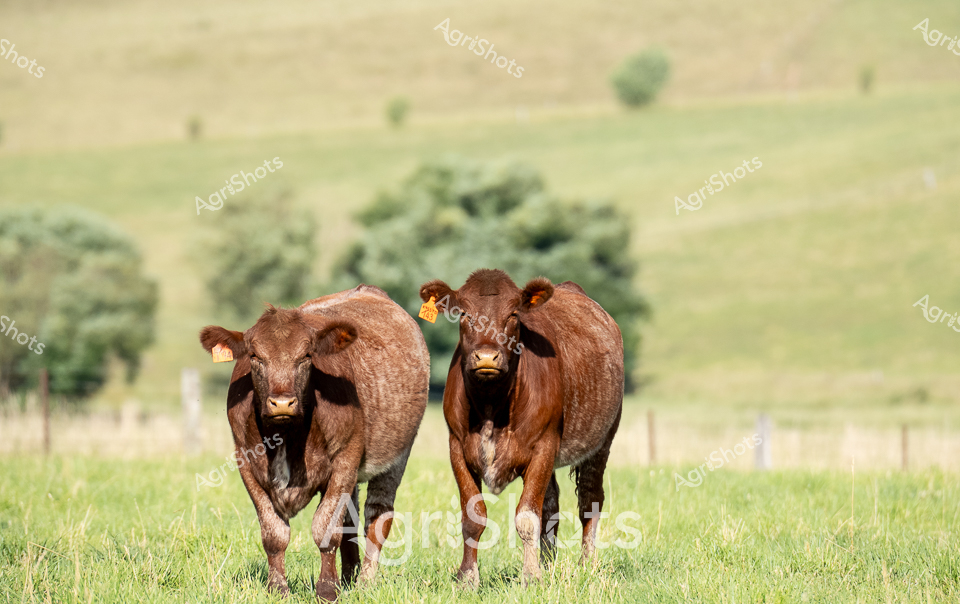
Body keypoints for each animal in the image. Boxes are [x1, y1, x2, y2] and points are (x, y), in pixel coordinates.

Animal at [198, 285, 429, 601]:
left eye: (306, 355)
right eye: (255, 356)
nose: (282, 402)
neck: (287, 436)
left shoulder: (345, 460)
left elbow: (326, 528)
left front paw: (327, 590)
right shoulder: (246, 462)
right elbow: (274, 533)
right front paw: (278, 588)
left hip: (396, 457)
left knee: (377, 515)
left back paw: (365, 582)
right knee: (351, 520)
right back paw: (349, 576)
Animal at [419, 269, 624, 587]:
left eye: (513, 314)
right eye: (464, 313)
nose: (487, 357)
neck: (491, 407)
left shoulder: (543, 445)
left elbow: (527, 516)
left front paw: (530, 576)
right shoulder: (457, 447)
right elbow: (473, 516)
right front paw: (468, 577)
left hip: (602, 440)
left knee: (590, 500)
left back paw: (586, 564)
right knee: (551, 505)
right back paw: (548, 563)